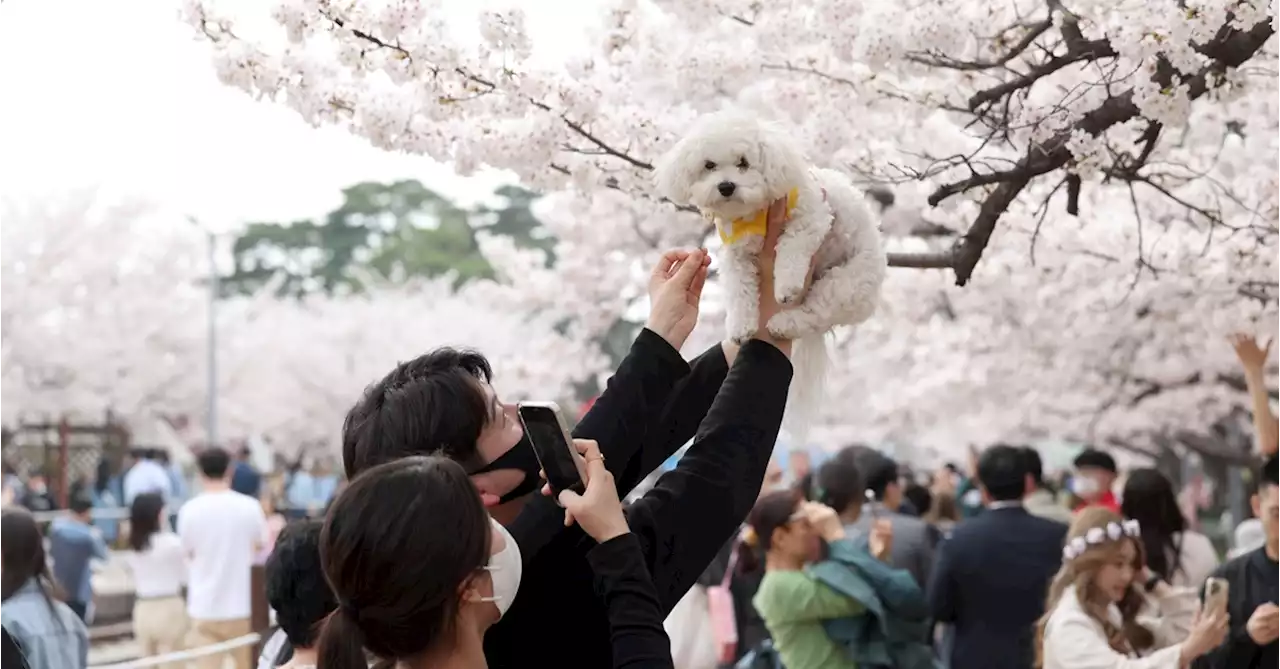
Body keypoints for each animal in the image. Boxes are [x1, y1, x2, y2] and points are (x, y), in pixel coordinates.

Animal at [655, 113, 885, 437]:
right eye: (709, 165)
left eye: (743, 162)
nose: (726, 186)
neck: (754, 215)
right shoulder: (736, 255)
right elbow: (739, 291)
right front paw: (741, 327)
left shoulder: (811, 218)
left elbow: (792, 247)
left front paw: (786, 286)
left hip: (847, 283)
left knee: (815, 311)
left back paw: (782, 323)